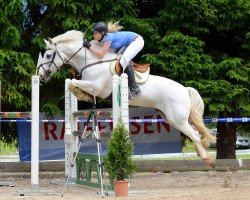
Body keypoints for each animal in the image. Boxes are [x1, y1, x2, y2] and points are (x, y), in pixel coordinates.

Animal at [36, 29, 215, 166]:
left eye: (48, 55)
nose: (41, 75)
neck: (92, 61)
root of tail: (184, 90)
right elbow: (72, 84)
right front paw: (84, 95)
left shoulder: (97, 87)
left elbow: (72, 83)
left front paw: (82, 94)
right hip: (170, 118)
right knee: (195, 133)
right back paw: (203, 155)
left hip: (177, 118)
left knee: (195, 135)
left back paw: (207, 159)